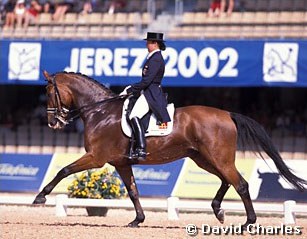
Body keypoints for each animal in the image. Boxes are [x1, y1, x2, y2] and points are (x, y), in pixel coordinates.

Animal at [33, 70, 307, 228]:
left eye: (48, 91)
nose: (53, 122)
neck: (99, 111)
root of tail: (227, 114)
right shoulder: (121, 162)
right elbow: (133, 191)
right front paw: (137, 220)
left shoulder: (96, 158)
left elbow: (64, 171)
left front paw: (40, 196)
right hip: (203, 159)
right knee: (227, 181)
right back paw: (218, 211)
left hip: (218, 158)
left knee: (240, 184)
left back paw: (248, 223)